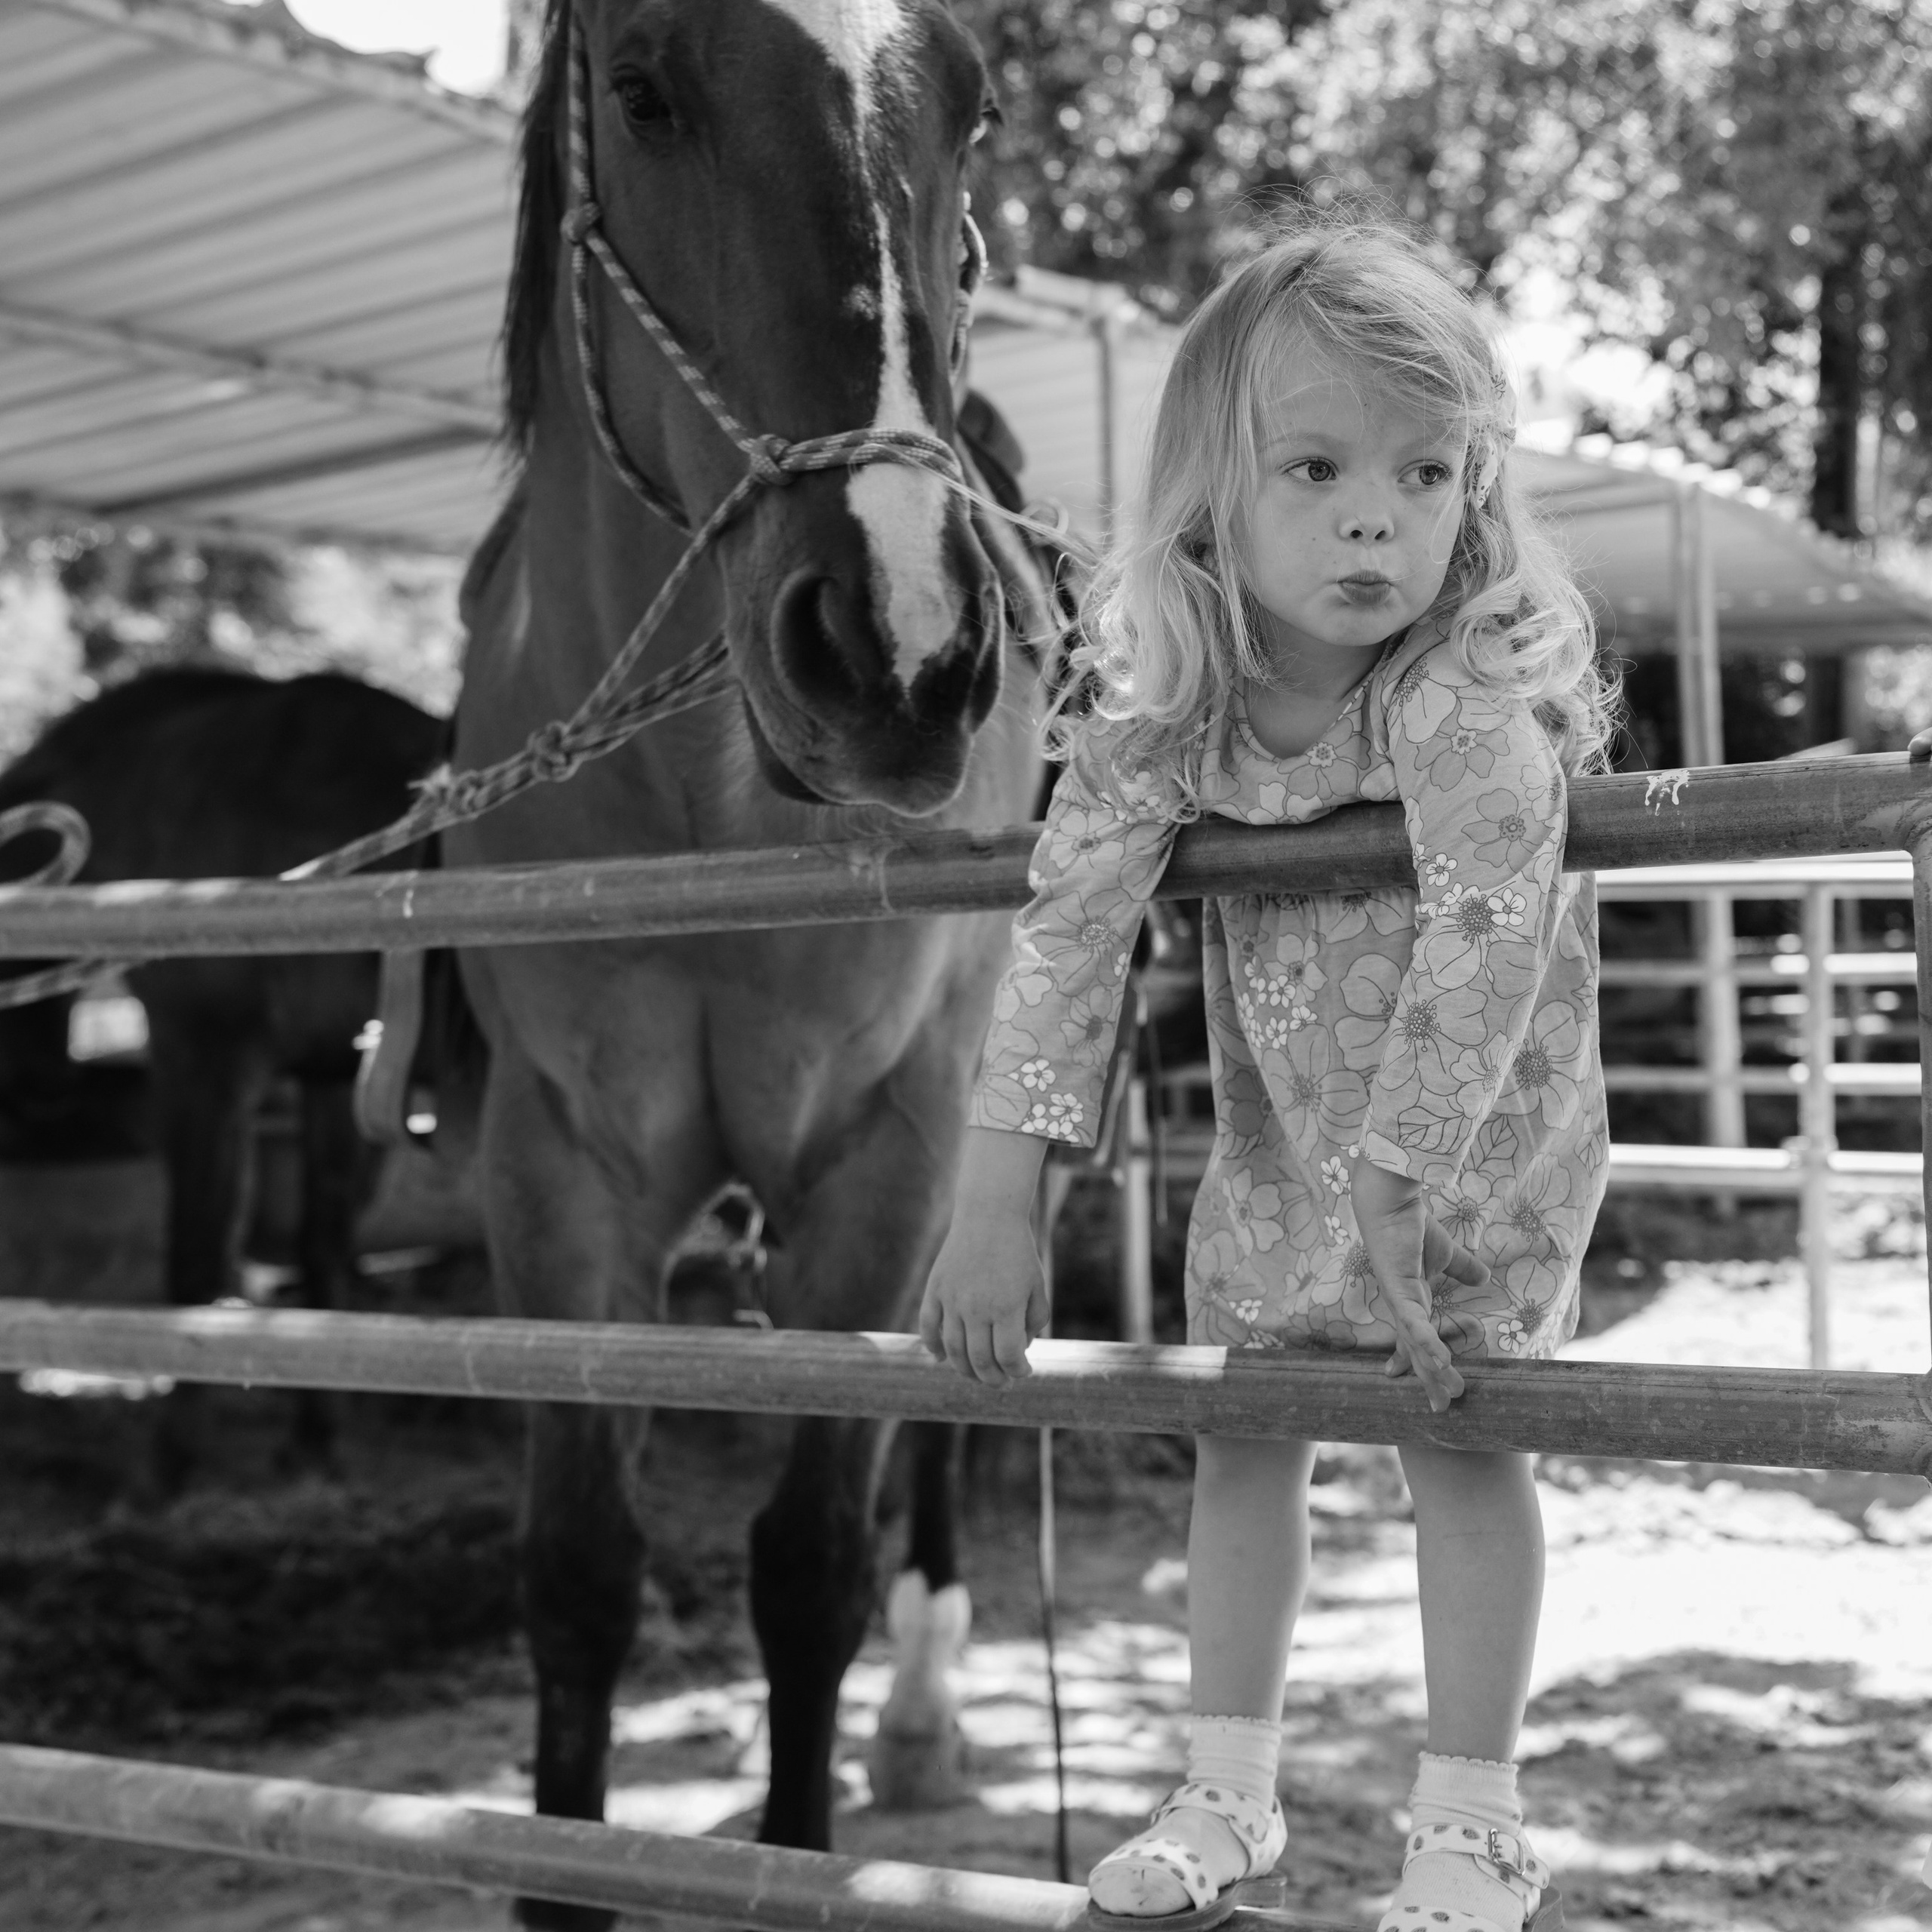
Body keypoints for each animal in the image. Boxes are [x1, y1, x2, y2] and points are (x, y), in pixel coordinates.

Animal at [0, 668, 451, 1482]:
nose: (38, 1088)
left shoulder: (204, 1059)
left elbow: (198, 1255)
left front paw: (171, 1463)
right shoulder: (333, 1075)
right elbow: (321, 1249)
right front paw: (314, 1440)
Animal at [447, 3, 1047, 1919]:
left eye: (975, 108)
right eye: (641, 86)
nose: (902, 650)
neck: (700, 798)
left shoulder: (882, 1156)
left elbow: (806, 1564)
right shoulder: (554, 1170)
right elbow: (576, 1573)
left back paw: (923, 1717)